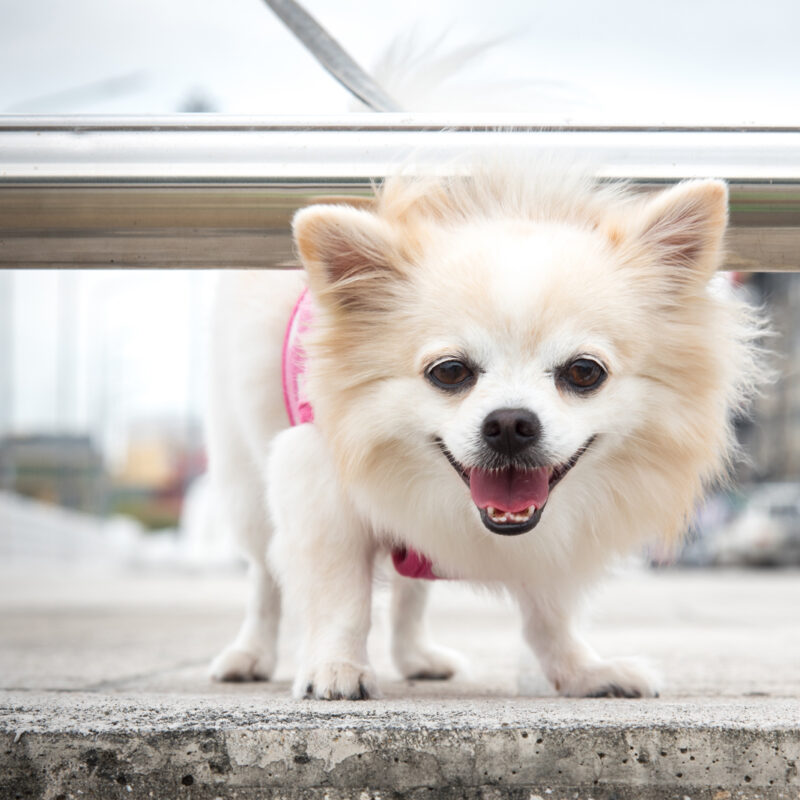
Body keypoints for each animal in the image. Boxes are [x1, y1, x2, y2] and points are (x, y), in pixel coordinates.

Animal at [206, 162, 764, 700]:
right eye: (450, 372)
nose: (511, 423)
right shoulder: (319, 491)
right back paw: (249, 656)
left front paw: (582, 672)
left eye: (585, 372)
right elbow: (340, 596)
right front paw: (336, 668)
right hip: (247, 486)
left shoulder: (549, 545)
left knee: (412, 585)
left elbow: (549, 616)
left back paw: (416, 657)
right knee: (265, 578)